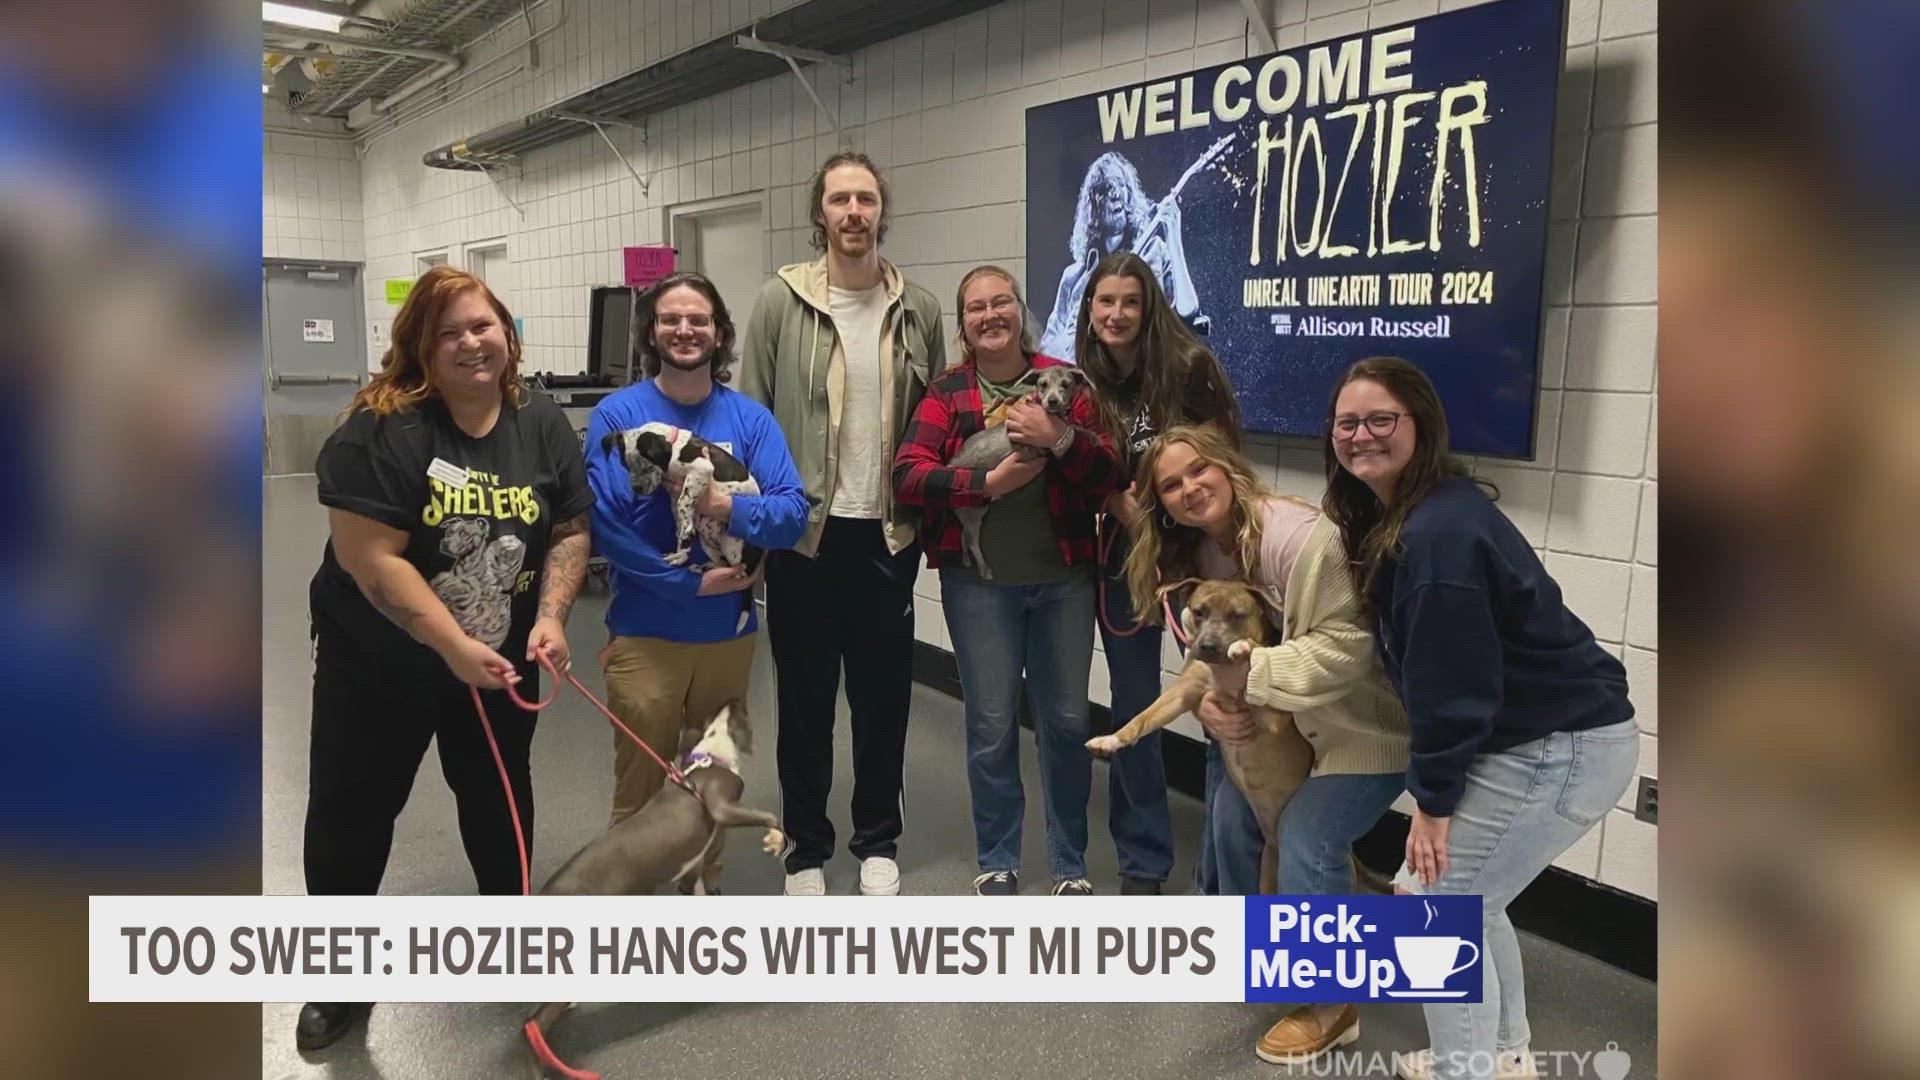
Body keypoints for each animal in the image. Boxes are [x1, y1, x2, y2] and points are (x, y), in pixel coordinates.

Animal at [599, 418, 764, 572]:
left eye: (648, 467)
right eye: (625, 466)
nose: (637, 488)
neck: (674, 446)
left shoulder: (701, 469)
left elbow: (683, 504)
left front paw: (685, 541)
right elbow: (679, 528)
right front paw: (679, 554)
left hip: (731, 545)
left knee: (737, 568)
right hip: (708, 546)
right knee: (722, 563)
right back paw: (703, 567)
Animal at [948, 363, 1090, 580]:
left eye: (1066, 385)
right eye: (1042, 384)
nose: (1052, 401)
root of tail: (950, 465)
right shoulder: (1031, 445)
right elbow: (1071, 429)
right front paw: (1085, 433)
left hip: (972, 512)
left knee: (964, 537)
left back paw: (966, 559)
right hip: (973, 511)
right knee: (972, 541)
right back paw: (984, 568)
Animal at [1090, 580, 1313, 891]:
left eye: (1236, 615)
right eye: (1198, 612)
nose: (1208, 646)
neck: (1221, 671)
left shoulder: (1272, 718)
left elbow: (1255, 659)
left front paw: (1244, 647)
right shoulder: (1179, 695)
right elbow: (1142, 718)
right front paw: (1111, 739)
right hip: (1268, 866)